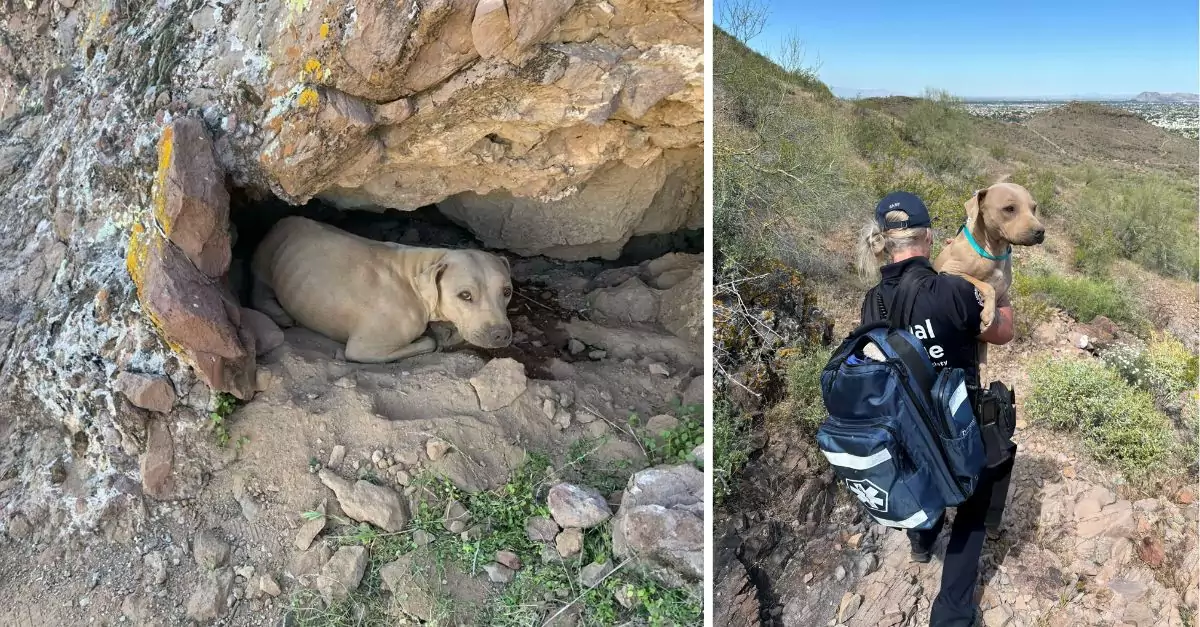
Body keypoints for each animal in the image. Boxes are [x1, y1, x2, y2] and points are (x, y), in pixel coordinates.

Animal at [250, 215, 513, 360]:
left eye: (507, 292)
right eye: (465, 295)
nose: (501, 334)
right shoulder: (364, 348)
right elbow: (428, 343)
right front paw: (432, 338)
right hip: (264, 263)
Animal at [931, 180, 1046, 333]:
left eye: (1034, 208)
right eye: (1009, 208)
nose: (1041, 231)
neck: (995, 251)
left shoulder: (1002, 294)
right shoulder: (951, 270)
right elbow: (987, 286)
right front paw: (988, 314)